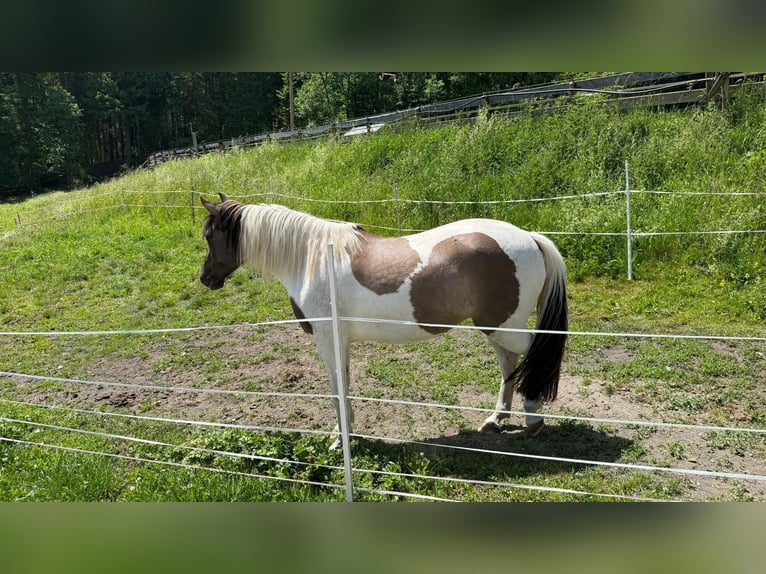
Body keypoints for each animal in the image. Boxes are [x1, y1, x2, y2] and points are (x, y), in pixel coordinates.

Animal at [199, 194, 568, 449]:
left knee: (535, 354)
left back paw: (533, 418)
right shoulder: (340, 342)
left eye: (209, 236)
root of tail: (529, 237)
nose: (205, 278)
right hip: (495, 327)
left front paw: (340, 440)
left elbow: (337, 389)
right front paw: (344, 433)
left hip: (506, 326)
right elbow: (344, 386)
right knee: (509, 363)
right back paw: (496, 419)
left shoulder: (328, 341)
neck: (311, 259)